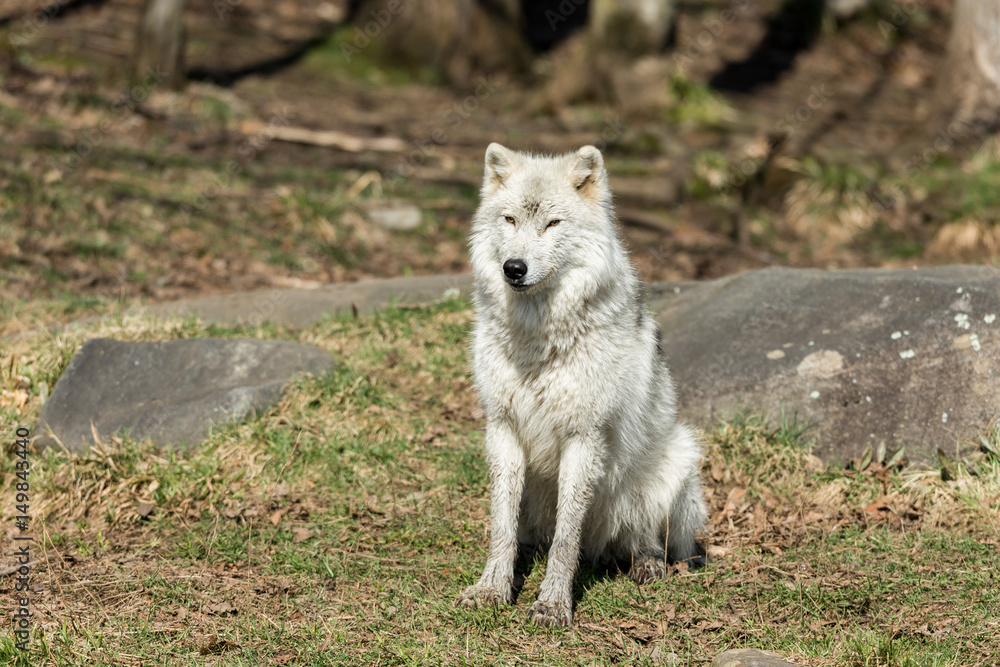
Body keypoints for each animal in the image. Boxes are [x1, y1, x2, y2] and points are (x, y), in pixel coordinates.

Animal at [456, 143, 708, 627]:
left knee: (644, 538)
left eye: (552, 223)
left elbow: (566, 538)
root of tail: (602, 548)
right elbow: (501, 527)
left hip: (678, 458)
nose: (514, 268)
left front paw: (553, 603)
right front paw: (492, 588)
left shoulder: (584, 437)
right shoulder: (503, 429)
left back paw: (647, 565)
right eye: (510, 220)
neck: (539, 342)